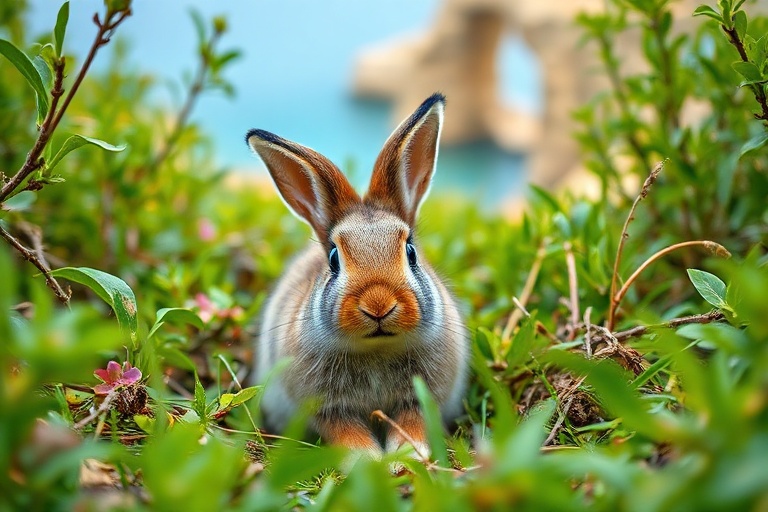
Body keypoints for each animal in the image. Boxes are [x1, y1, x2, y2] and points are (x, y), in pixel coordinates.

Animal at [246, 93, 468, 459]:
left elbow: (411, 425)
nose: (378, 306)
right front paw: (370, 462)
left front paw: (405, 460)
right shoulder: (328, 409)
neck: (376, 349)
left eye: (411, 252)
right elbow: (348, 435)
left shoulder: (419, 400)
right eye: (334, 259)